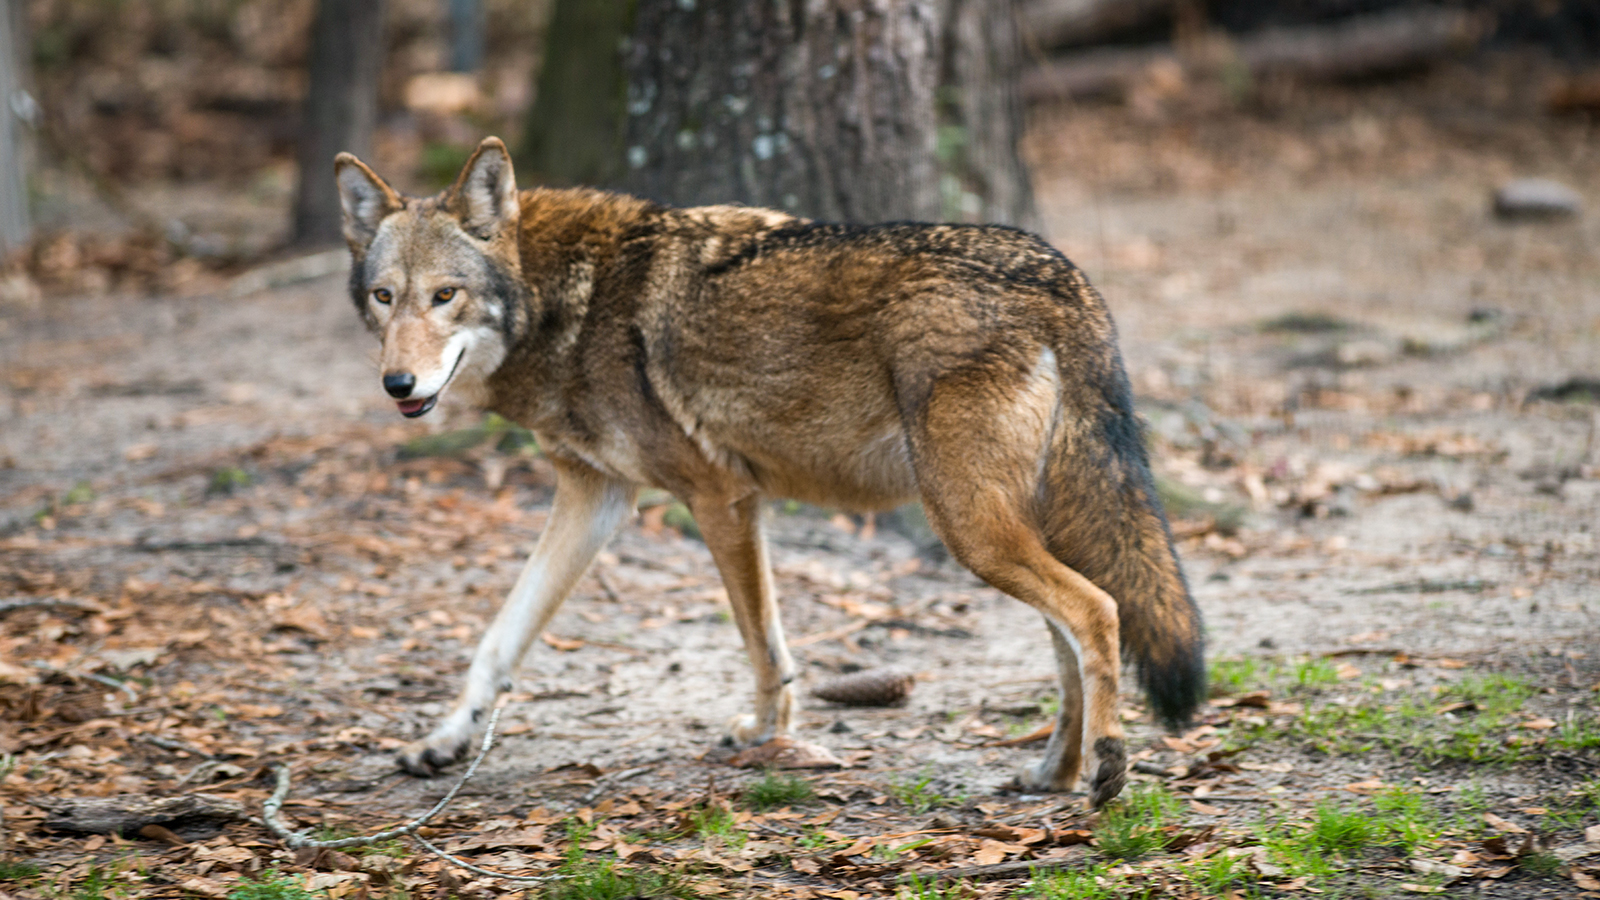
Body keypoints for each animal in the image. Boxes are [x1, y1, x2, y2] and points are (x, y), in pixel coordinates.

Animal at [334, 136, 1204, 807]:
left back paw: (1108, 767)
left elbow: (762, 642)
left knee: (1097, 611)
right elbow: (499, 637)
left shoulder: (721, 497)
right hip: (1001, 528)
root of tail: (1062, 274)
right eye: (384, 298)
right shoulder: (596, 495)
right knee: (1067, 635)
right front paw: (443, 741)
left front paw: (765, 736)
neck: (562, 307)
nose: (398, 385)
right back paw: (1052, 773)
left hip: (972, 531)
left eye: (446, 296)